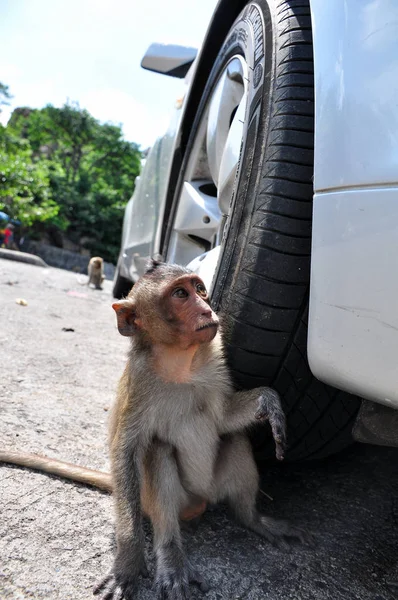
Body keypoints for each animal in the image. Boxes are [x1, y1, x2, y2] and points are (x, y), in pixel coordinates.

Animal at [0, 262, 310, 600]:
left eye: (200, 289)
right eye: (180, 294)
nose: (207, 309)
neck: (181, 363)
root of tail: (201, 501)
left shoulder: (216, 367)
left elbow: (224, 419)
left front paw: (268, 400)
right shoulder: (139, 382)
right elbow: (127, 452)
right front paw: (128, 560)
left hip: (214, 486)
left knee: (236, 438)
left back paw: (251, 519)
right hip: (167, 501)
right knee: (157, 452)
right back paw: (172, 556)